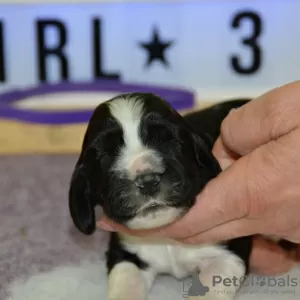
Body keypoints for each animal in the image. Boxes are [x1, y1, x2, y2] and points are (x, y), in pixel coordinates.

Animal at [68, 94, 288, 300]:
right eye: (106, 157)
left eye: (169, 142)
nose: (147, 181)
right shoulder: (125, 253)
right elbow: (126, 284)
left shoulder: (228, 252)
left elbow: (210, 286)